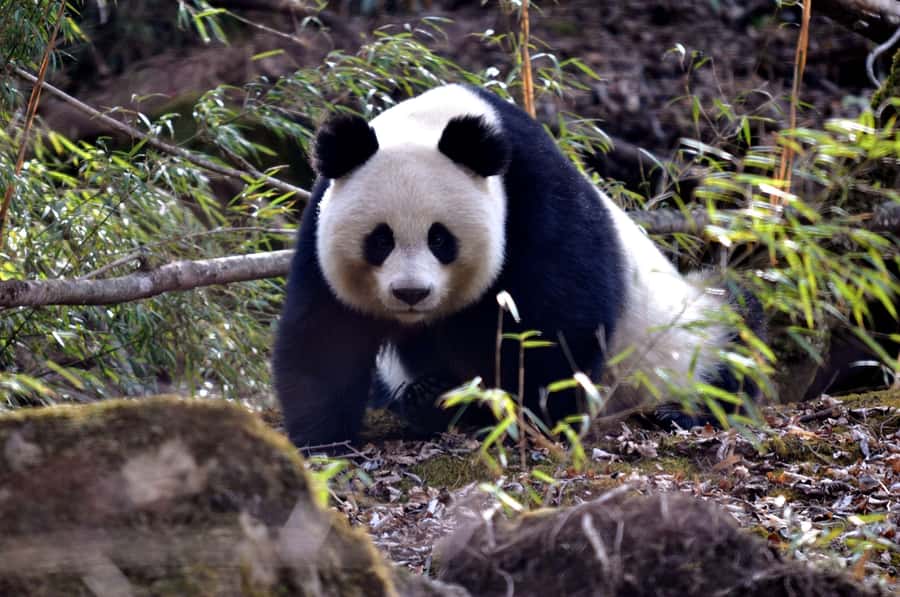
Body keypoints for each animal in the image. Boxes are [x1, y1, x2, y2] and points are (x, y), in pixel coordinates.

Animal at [273, 83, 760, 448]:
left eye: (440, 239)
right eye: (380, 239)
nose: (411, 293)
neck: (436, 122)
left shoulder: (535, 202)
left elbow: (558, 322)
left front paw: (528, 417)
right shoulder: (319, 227)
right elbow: (325, 334)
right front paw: (322, 440)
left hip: (688, 336)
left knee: (736, 335)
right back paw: (428, 396)